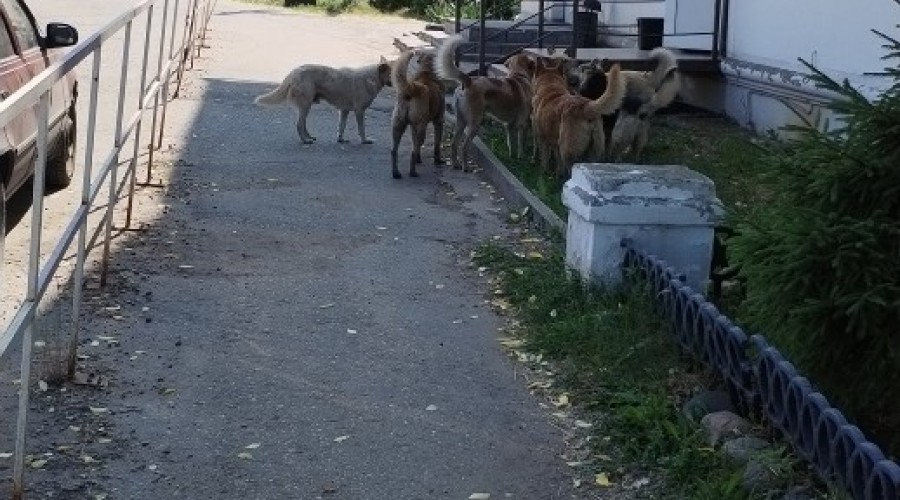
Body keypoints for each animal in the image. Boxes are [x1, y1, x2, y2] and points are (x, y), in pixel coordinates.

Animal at [253, 58, 394, 146]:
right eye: (392, 75)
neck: (372, 78)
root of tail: (294, 72)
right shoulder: (359, 111)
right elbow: (362, 128)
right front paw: (364, 140)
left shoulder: (344, 110)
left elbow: (341, 126)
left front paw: (341, 139)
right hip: (306, 105)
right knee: (299, 124)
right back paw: (305, 141)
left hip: (306, 106)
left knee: (303, 124)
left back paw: (309, 137)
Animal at [388, 48, 444, 180]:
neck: (426, 72)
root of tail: (411, 88)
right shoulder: (439, 121)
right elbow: (437, 144)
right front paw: (437, 160)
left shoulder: (413, 126)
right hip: (419, 128)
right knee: (414, 150)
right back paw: (413, 172)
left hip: (397, 125)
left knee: (394, 150)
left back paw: (396, 173)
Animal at [436, 34, 536, 172]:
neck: (519, 75)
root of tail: (468, 81)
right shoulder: (521, 124)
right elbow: (520, 144)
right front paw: (521, 158)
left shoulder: (508, 126)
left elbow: (511, 144)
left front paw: (512, 157)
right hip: (475, 123)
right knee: (464, 146)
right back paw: (466, 167)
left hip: (461, 122)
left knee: (454, 143)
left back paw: (455, 164)